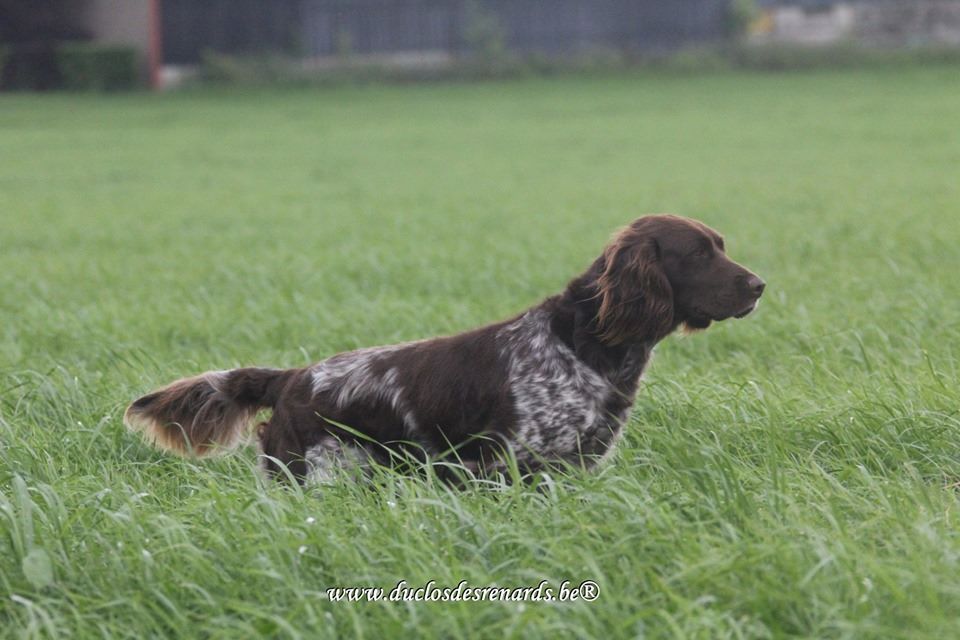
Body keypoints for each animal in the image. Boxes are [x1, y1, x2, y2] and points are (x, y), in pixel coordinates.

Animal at [124, 212, 764, 482]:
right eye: (698, 253)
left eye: (722, 244)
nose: (759, 285)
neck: (585, 346)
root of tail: (293, 377)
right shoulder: (509, 464)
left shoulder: (576, 465)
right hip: (318, 474)